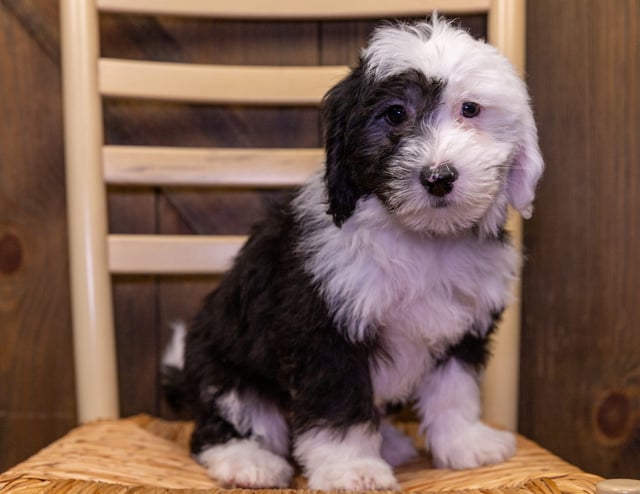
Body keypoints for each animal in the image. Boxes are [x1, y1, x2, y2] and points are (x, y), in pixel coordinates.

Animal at [162, 17, 544, 492]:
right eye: (395, 114)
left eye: (470, 109)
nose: (438, 178)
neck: (421, 238)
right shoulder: (324, 332)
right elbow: (338, 406)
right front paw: (352, 469)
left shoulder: (463, 327)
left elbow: (454, 391)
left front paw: (465, 442)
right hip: (226, 372)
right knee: (224, 422)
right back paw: (247, 461)